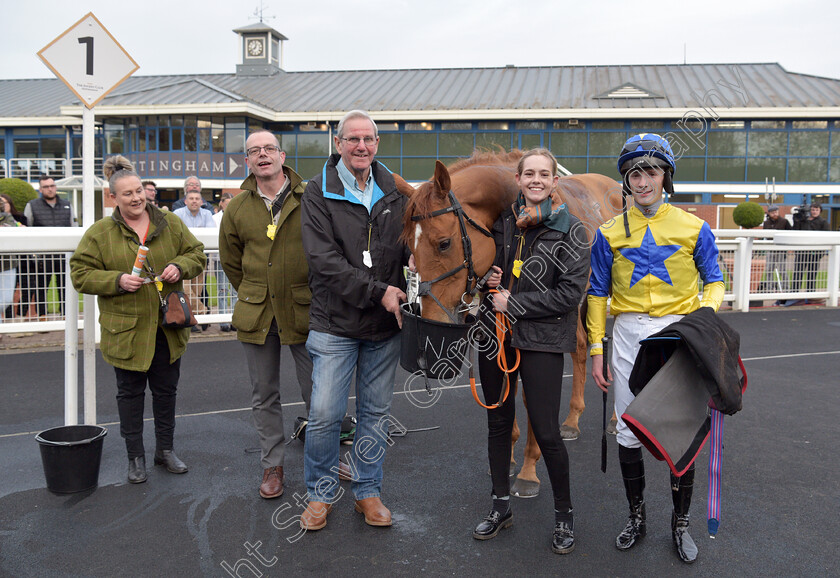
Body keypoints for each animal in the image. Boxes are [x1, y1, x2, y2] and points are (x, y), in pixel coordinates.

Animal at [398, 150, 620, 496]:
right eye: (409, 245)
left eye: (444, 243)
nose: (432, 318)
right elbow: (506, 388)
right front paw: (509, 458)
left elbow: (530, 398)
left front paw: (528, 470)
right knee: (582, 348)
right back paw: (571, 420)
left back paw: (615, 420)